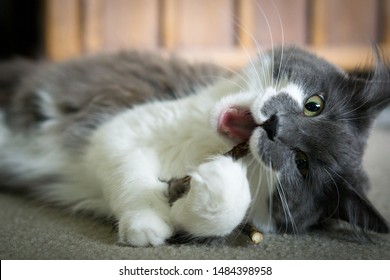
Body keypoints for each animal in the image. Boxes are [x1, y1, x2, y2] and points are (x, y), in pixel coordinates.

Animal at [0, 47, 388, 246]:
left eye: (302, 164)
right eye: (314, 105)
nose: (275, 126)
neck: (201, 143)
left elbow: (222, 215)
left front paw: (215, 180)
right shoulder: (118, 129)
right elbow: (131, 177)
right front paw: (145, 223)